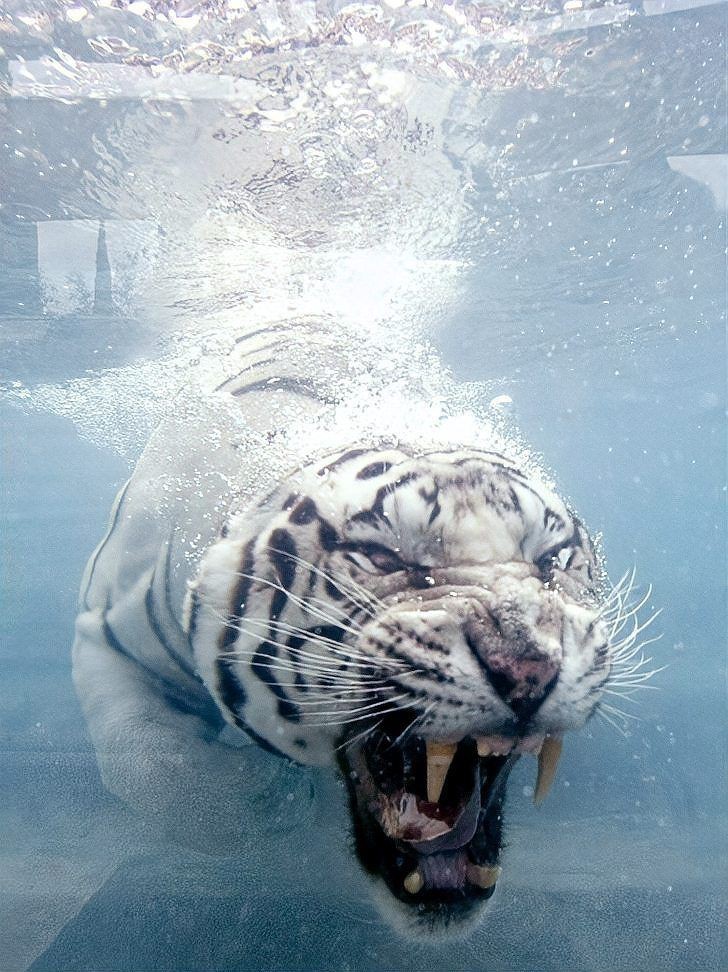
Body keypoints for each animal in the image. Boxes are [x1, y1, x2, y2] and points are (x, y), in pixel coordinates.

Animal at [73, 316, 636, 934]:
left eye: (553, 559)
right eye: (382, 558)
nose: (529, 668)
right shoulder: (106, 630)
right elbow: (154, 770)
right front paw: (275, 803)